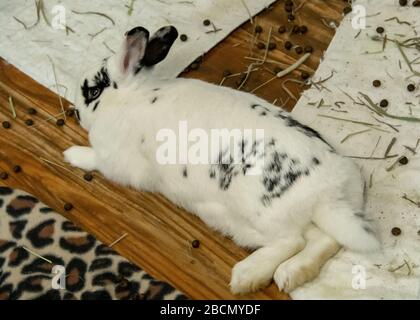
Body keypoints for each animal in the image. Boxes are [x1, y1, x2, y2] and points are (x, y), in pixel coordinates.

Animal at [64, 25, 382, 296]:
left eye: (92, 91)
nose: (76, 112)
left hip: (258, 217)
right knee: (323, 241)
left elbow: (95, 160)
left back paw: (247, 276)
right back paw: (290, 274)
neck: (132, 95)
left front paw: (71, 154)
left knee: (292, 241)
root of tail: (328, 195)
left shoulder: (117, 162)